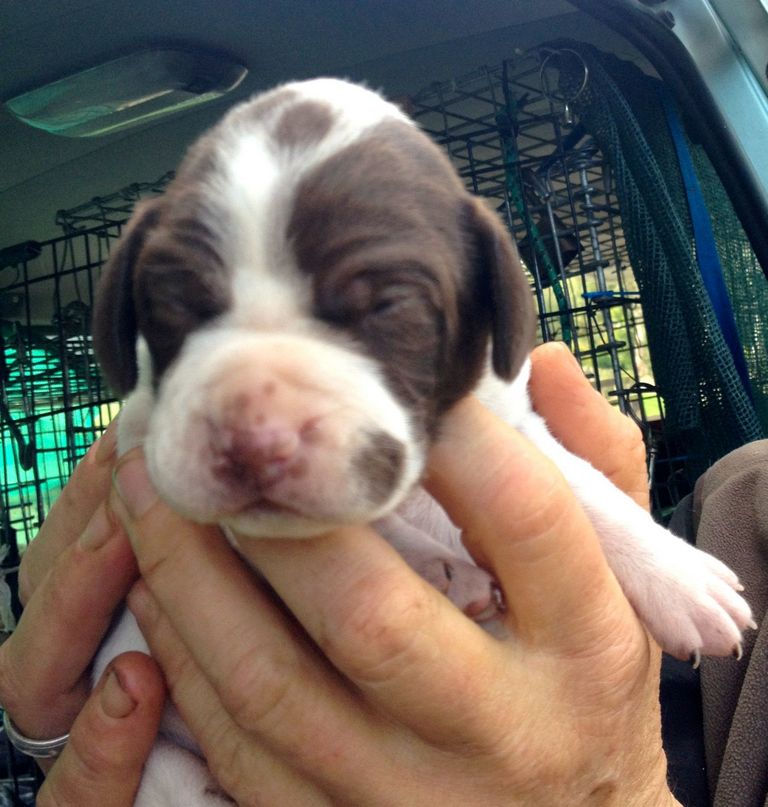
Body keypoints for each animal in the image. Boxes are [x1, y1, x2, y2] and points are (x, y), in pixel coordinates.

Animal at [91, 77, 756, 807]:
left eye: (390, 310)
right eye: (172, 306)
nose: (254, 437)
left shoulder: (510, 420)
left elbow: (585, 489)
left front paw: (678, 574)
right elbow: (367, 526)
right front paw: (439, 567)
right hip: (167, 770)